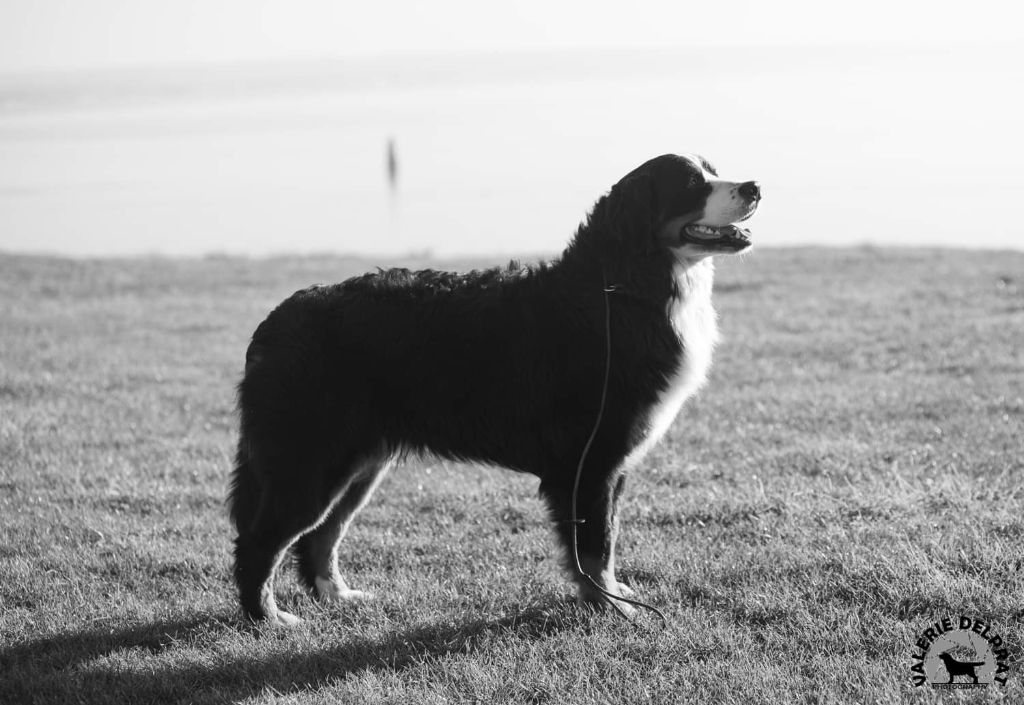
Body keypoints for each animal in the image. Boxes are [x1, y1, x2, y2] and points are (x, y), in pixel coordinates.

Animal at [230, 152, 761, 623]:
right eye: (692, 183)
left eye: (713, 170)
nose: (755, 186)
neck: (622, 289)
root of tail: (275, 321)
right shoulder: (590, 463)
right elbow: (594, 548)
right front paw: (612, 607)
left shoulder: (610, 463)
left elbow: (605, 543)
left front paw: (611, 596)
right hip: (308, 464)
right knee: (261, 542)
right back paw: (270, 618)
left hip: (357, 464)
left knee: (321, 537)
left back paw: (337, 595)